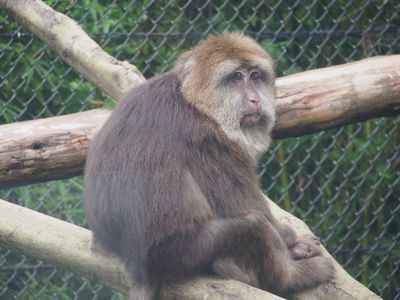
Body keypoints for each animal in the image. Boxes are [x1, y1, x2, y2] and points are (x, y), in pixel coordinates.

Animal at [84, 31, 334, 298]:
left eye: (255, 76)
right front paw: (292, 242)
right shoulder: (207, 137)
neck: (194, 102)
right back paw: (291, 277)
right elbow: (246, 206)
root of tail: (140, 267)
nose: (255, 99)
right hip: (184, 251)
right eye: (237, 77)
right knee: (255, 226)